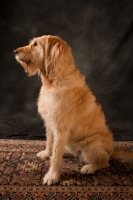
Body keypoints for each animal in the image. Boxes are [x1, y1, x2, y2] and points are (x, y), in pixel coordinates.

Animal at [13, 34, 133, 186]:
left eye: (35, 44)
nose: (15, 51)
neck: (53, 80)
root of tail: (113, 148)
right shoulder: (49, 123)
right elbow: (50, 142)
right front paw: (46, 153)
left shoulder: (61, 129)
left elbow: (56, 156)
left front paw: (52, 176)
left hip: (91, 147)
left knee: (106, 162)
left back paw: (89, 168)